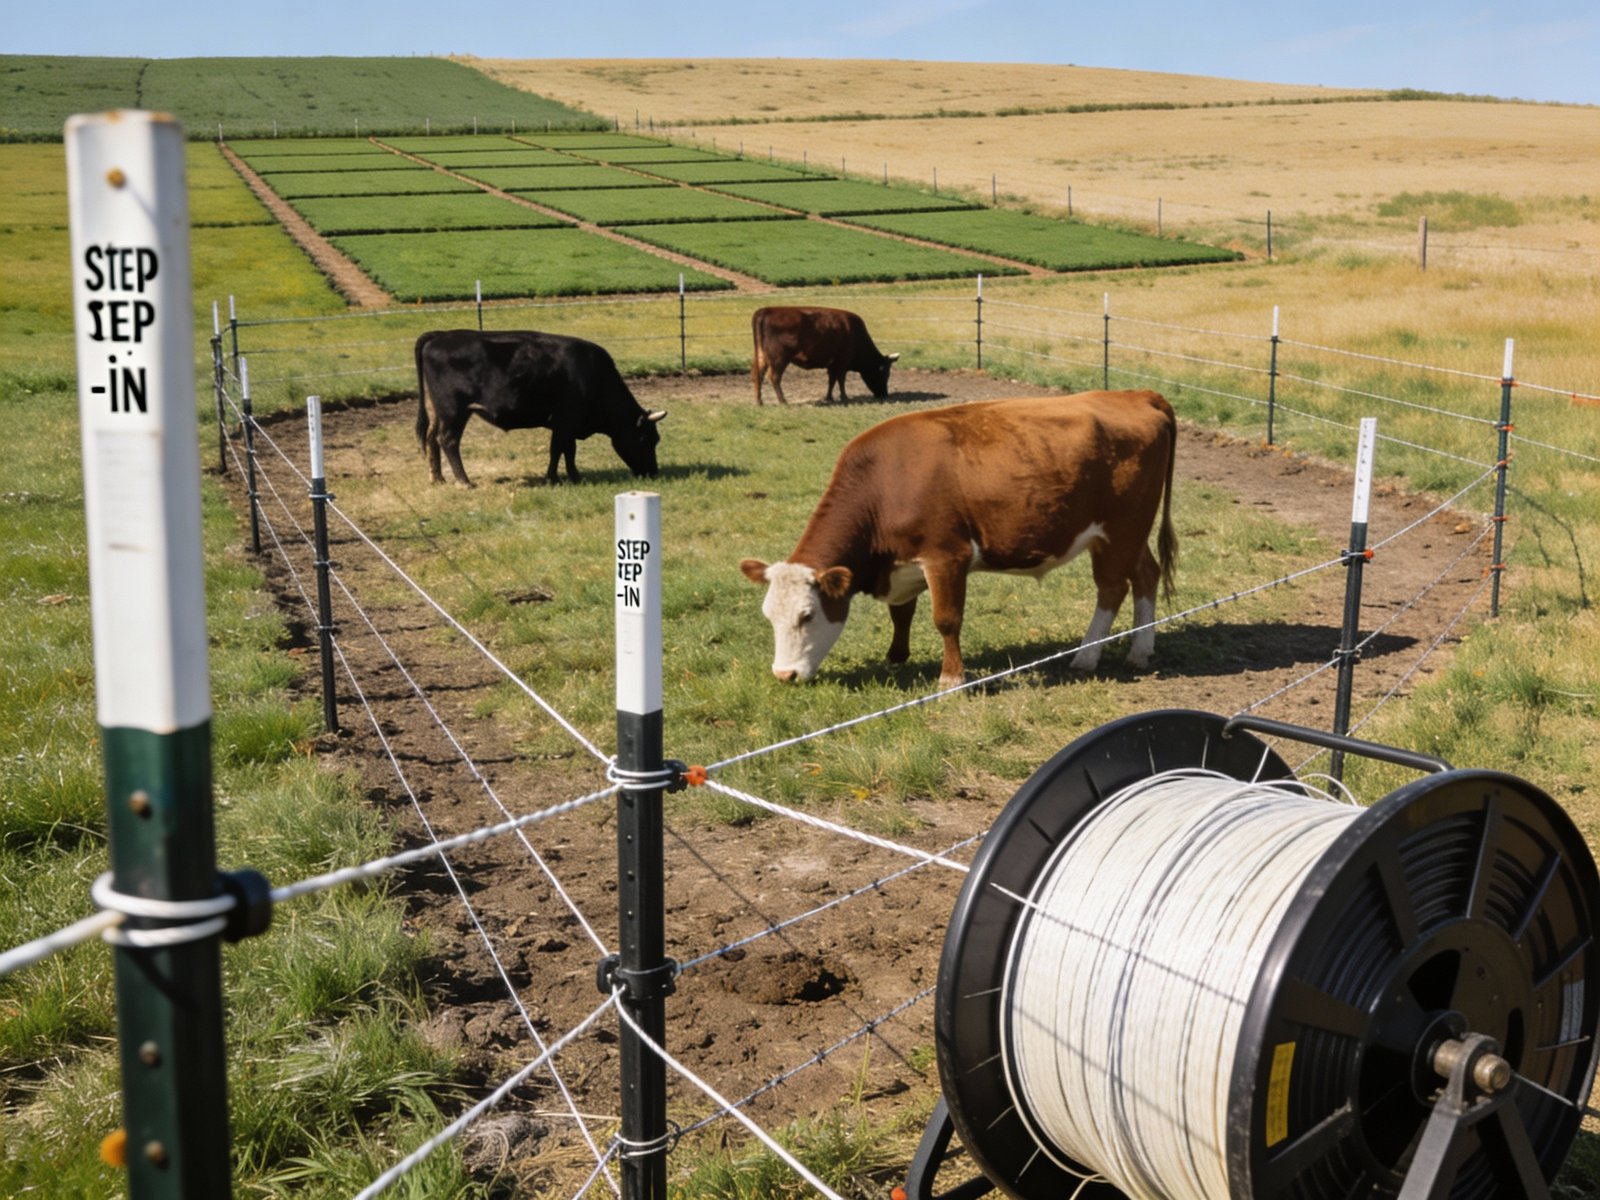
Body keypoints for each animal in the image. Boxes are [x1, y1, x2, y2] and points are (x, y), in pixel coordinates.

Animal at [414, 329, 665, 488]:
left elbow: (567, 450)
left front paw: (572, 476)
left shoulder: (566, 424)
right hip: (454, 410)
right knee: (448, 440)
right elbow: (559, 449)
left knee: (431, 438)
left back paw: (437, 478)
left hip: (436, 410)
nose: (653, 473)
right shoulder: (566, 420)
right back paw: (463, 481)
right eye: (645, 439)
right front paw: (556, 478)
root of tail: (441, 335)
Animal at [740, 390, 1178, 689]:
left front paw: (951, 680)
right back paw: (1140, 649)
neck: (887, 482)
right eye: (768, 616)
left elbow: (946, 619)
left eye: (807, 615)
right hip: (1127, 535)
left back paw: (1086, 656)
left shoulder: (946, 556)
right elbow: (902, 613)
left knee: (1112, 588)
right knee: (1146, 575)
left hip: (1121, 530)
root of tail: (1135, 395)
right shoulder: (905, 563)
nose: (784, 674)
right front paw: (896, 656)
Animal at [750, 306, 899, 406]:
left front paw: (829, 397)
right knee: (774, 377)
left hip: (762, 357)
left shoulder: (832, 365)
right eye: (885, 374)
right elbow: (841, 380)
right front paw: (844, 397)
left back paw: (759, 401)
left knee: (758, 375)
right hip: (779, 358)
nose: (884, 395)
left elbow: (831, 380)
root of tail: (766, 310)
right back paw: (783, 401)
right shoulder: (842, 362)